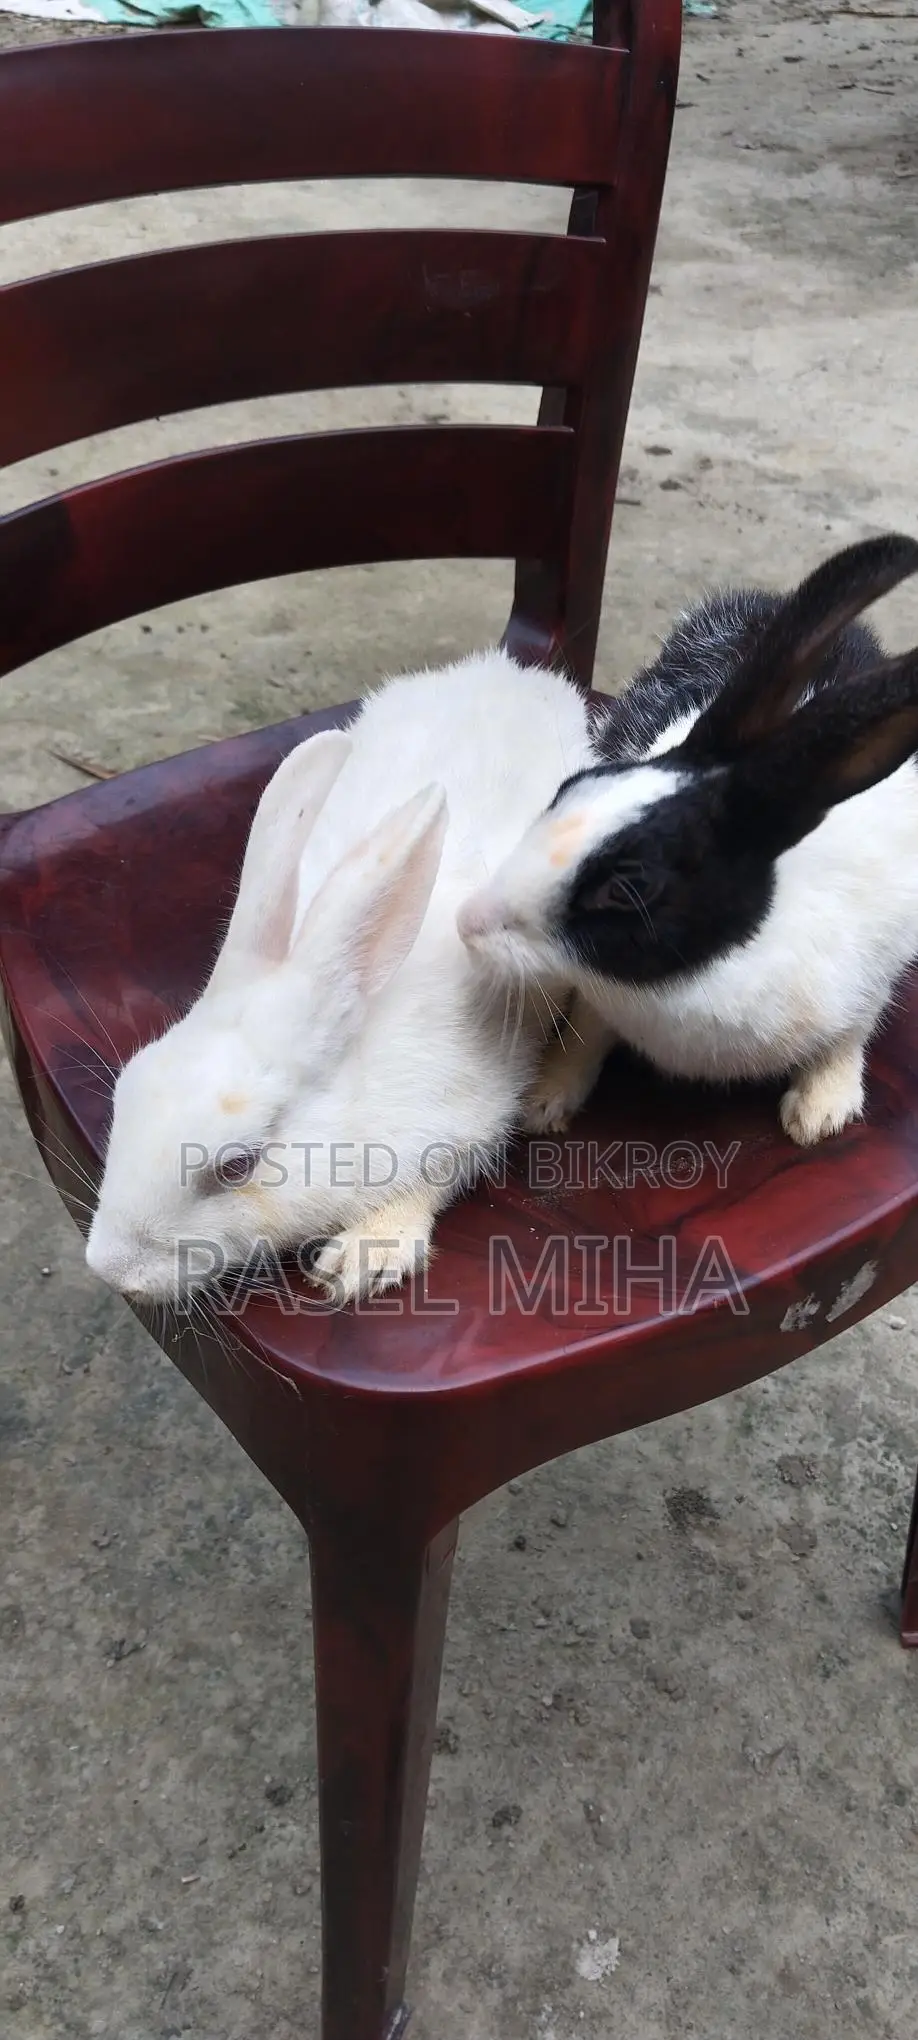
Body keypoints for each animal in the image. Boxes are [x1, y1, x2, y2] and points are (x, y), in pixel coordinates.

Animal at [85, 648, 594, 1307]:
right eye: (125, 1091)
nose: (112, 1269)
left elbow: (431, 1180)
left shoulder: (465, 1121)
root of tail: (515, 672)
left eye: (237, 1166)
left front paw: (361, 1258)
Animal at [456, 533, 918, 1147]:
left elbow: (853, 1029)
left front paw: (819, 1113)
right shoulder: (599, 1006)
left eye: (628, 889)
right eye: (569, 787)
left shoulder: (879, 964)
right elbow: (585, 1031)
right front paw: (545, 1100)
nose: (468, 920)